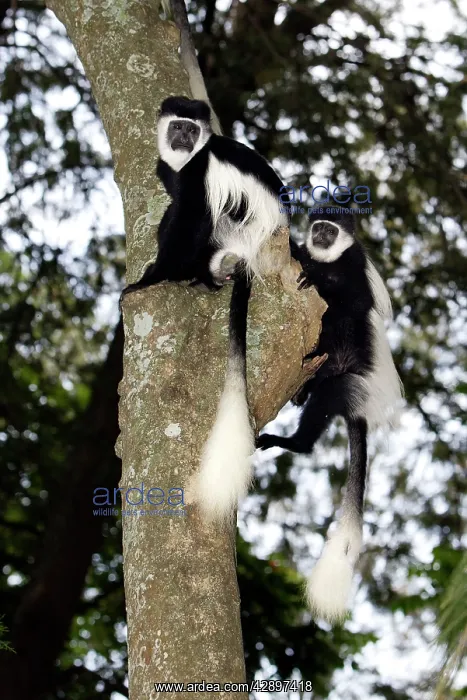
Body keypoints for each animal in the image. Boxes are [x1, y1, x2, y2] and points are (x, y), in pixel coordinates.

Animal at [256, 208, 404, 622]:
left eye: (331, 230)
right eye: (318, 226)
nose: (320, 234)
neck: (327, 259)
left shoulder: (354, 266)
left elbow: (355, 300)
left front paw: (313, 275)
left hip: (346, 379)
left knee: (322, 403)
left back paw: (291, 441)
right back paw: (300, 390)